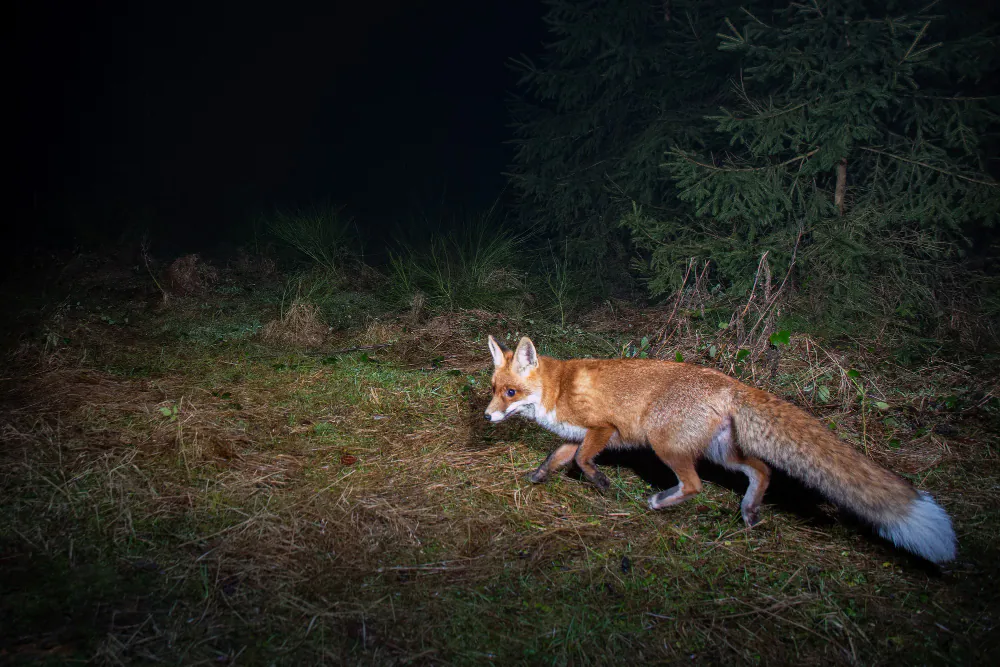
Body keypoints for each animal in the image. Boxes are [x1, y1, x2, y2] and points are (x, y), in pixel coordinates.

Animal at [488, 334, 956, 564]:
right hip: (721, 452)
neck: (556, 390)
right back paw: (748, 511)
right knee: (762, 470)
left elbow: (585, 461)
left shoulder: (603, 428)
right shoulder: (574, 435)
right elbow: (557, 458)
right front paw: (538, 476)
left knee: (695, 485)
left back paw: (661, 502)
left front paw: (601, 483)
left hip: (666, 446)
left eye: (510, 392)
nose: (488, 417)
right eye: (493, 389)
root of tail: (732, 382)